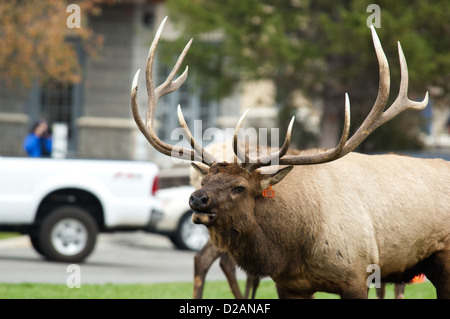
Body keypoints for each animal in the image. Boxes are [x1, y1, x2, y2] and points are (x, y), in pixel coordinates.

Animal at [131, 16, 450, 298]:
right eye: (205, 180)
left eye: (240, 187)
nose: (197, 199)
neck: (294, 247)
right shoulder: (289, 284)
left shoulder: (357, 274)